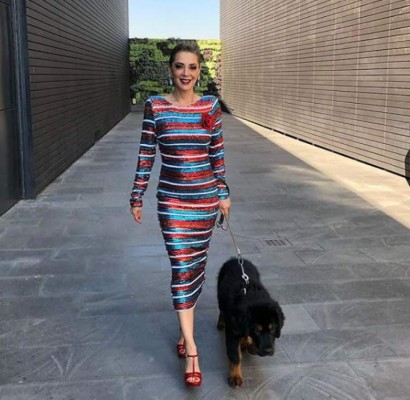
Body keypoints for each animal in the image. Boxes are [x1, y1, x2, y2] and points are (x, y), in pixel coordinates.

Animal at [217, 257, 285, 387]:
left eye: (273, 329)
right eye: (256, 331)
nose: (268, 351)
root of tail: (236, 259)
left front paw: (250, 346)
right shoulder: (233, 331)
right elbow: (234, 355)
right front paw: (235, 376)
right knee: (222, 309)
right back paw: (221, 322)